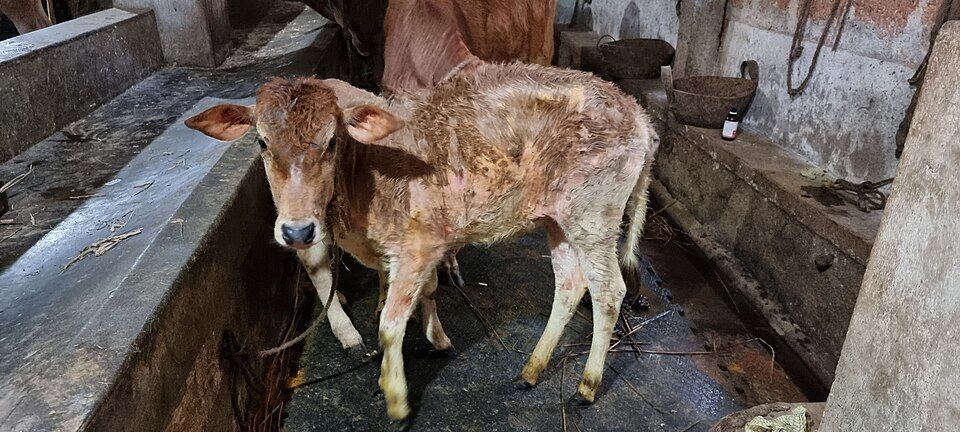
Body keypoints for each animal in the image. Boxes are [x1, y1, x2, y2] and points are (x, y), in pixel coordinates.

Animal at [185, 61, 657, 422]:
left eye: (332, 141)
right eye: (261, 141)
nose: (297, 231)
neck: (367, 169)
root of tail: (637, 112)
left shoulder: (419, 245)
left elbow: (391, 324)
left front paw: (395, 397)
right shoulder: (419, 245)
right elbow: (421, 294)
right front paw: (435, 338)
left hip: (594, 217)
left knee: (608, 291)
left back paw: (587, 385)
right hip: (558, 220)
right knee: (569, 284)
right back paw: (531, 369)